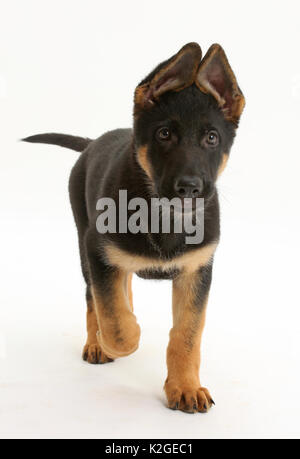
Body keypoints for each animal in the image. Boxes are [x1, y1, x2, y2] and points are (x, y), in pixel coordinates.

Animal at [22, 43, 244, 416]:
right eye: (164, 134)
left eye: (212, 138)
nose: (189, 188)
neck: (162, 215)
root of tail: (92, 142)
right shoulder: (98, 251)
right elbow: (114, 318)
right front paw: (119, 338)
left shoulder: (197, 270)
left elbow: (186, 336)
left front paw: (185, 387)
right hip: (84, 243)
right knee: (94, 298)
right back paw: (96, 344)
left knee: (119, 285)